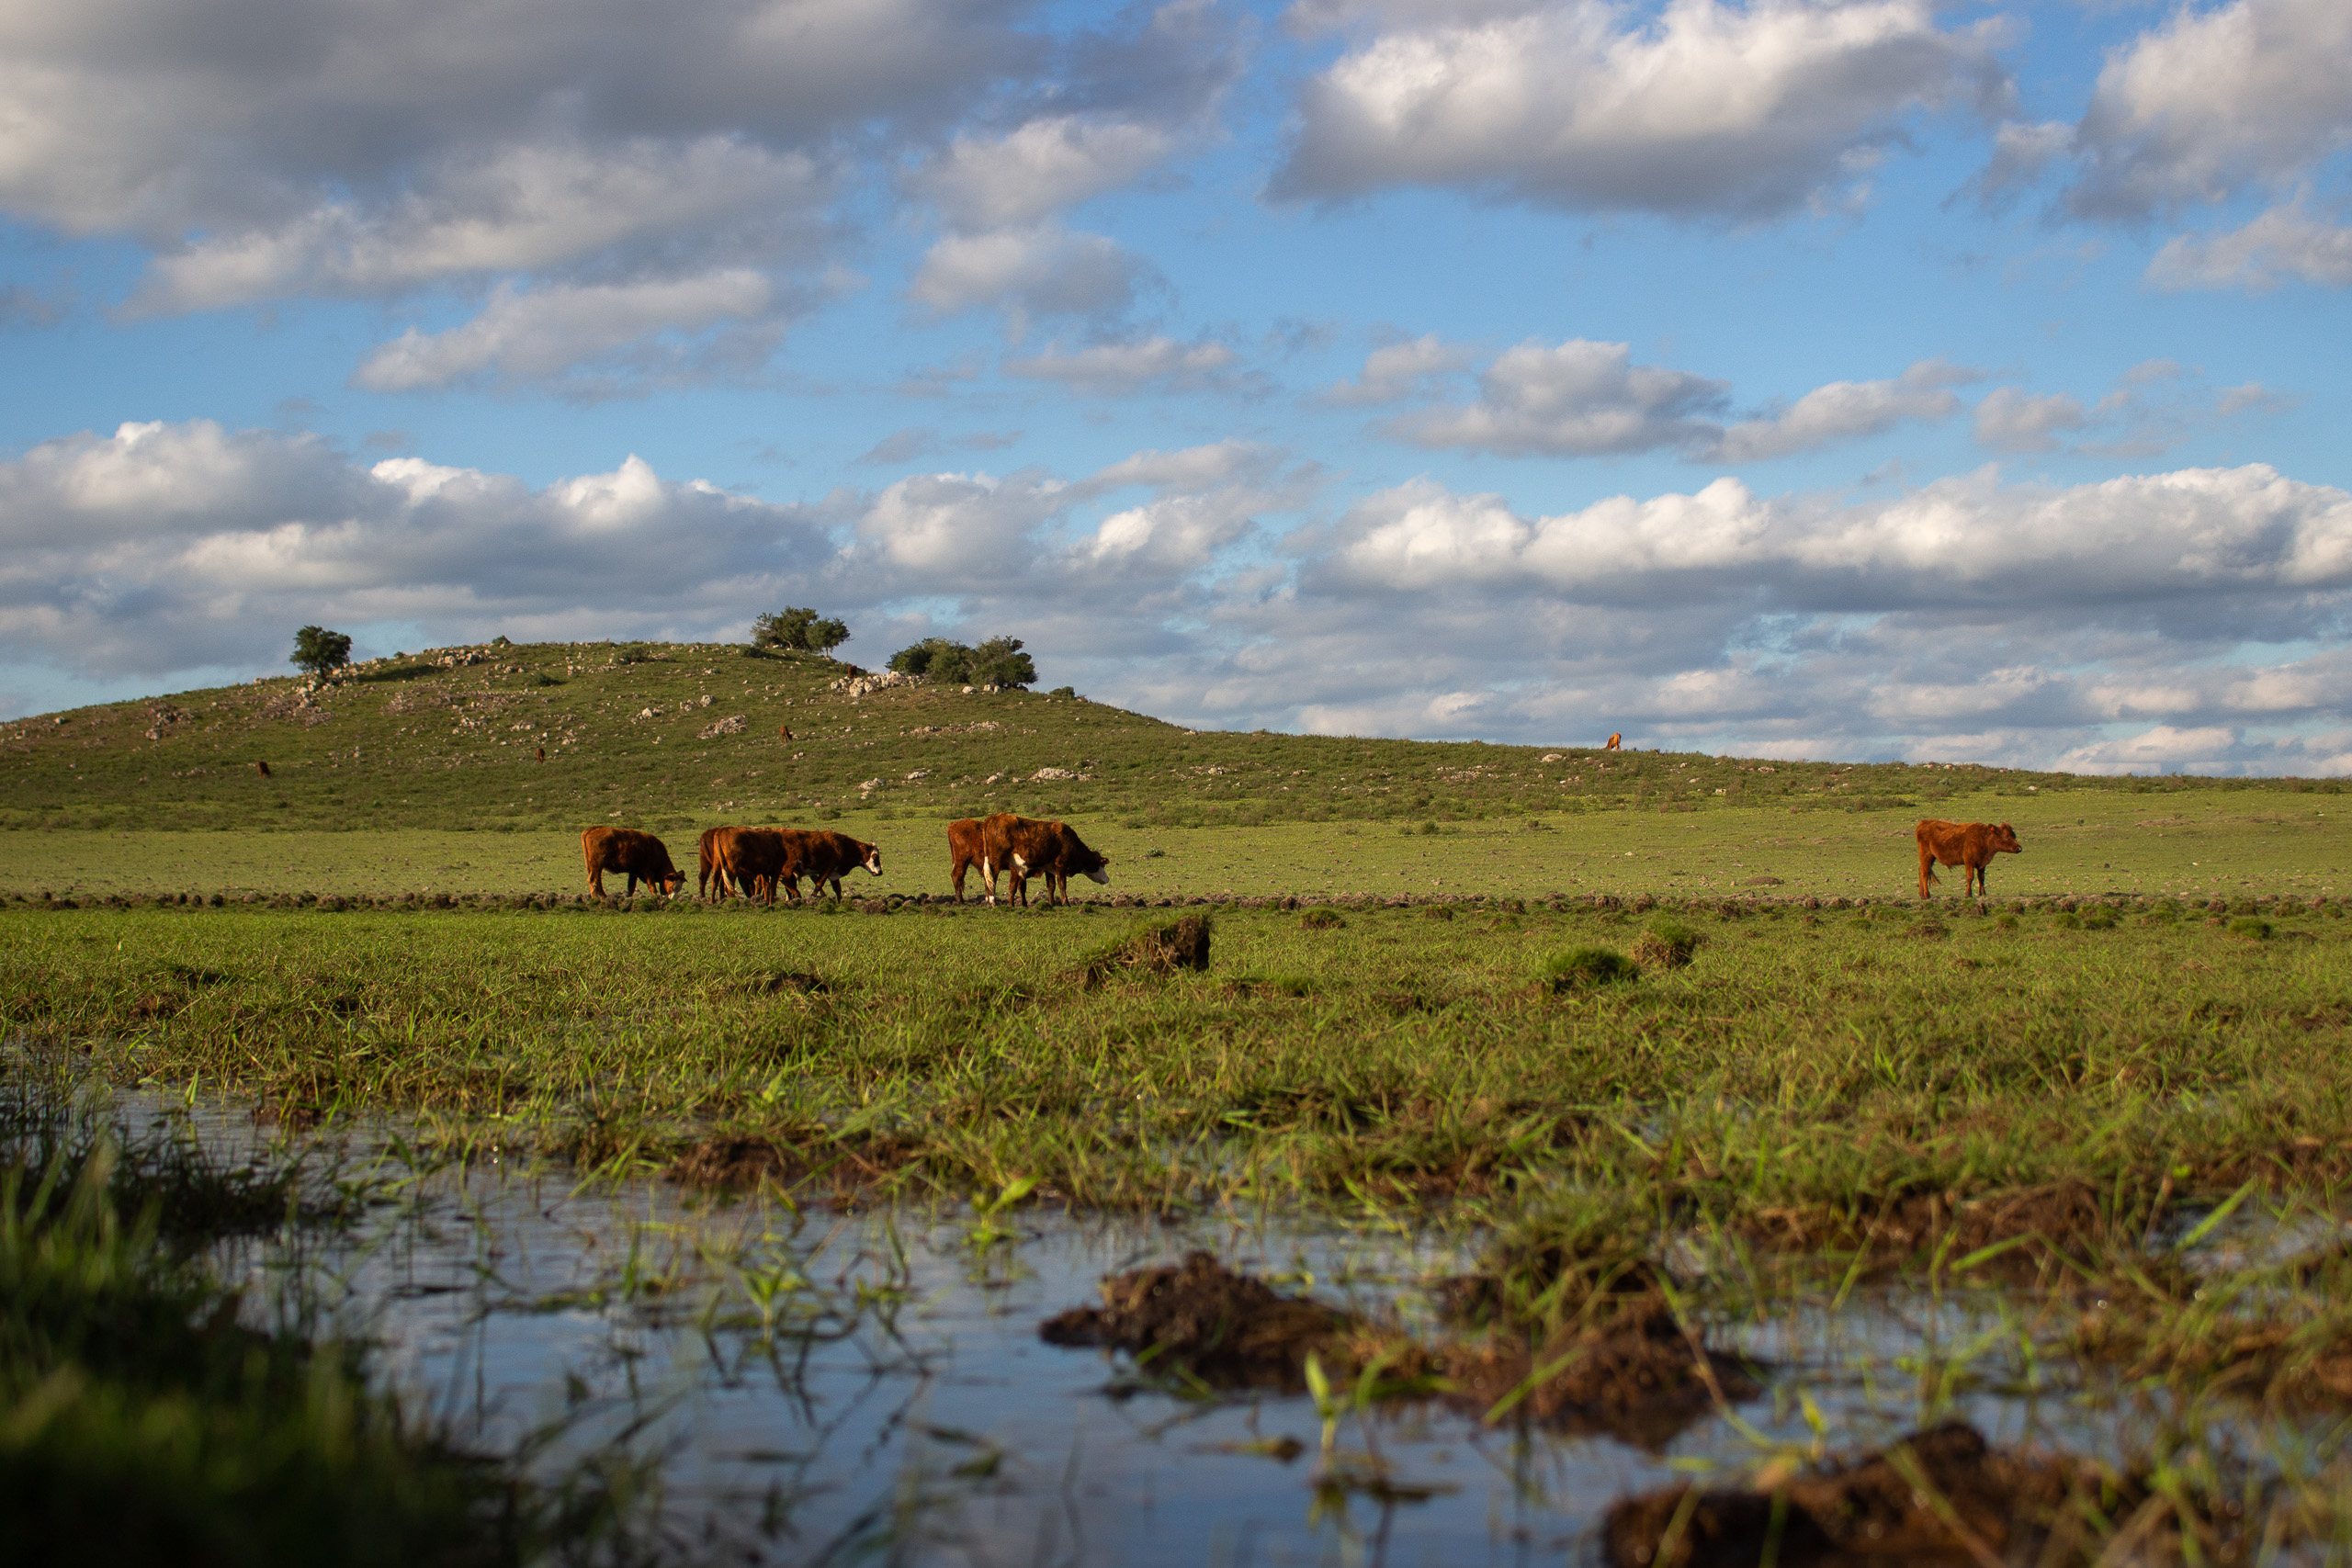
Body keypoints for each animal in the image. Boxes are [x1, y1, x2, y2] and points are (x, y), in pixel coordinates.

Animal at [981, 813, 1110, 907]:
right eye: (1102, 865)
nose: (1107, 879)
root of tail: (993, 818)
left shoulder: (1049, 867)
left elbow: (1051, 886)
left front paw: (1052, 904)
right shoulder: (1061, 865)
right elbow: (1062, 884)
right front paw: (1066, 903)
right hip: (995, 861)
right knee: (992, 879)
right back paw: (992, 902)